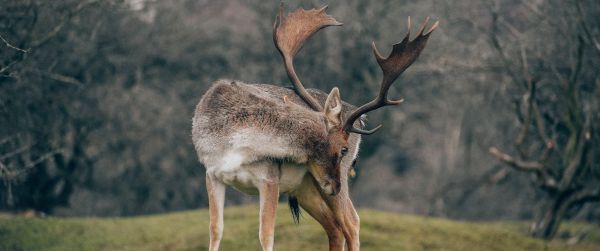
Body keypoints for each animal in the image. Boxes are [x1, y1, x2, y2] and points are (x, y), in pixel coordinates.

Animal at [192, 3, 436, 251]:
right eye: (343, 149)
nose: (335, 187)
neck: (234, 144)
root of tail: (358, 118)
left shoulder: (269, 178)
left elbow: (266, 234)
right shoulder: (212, 173)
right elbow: (215, 231)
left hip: (325, 185)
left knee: (352, 223)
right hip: (307, 187)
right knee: (335, 229)